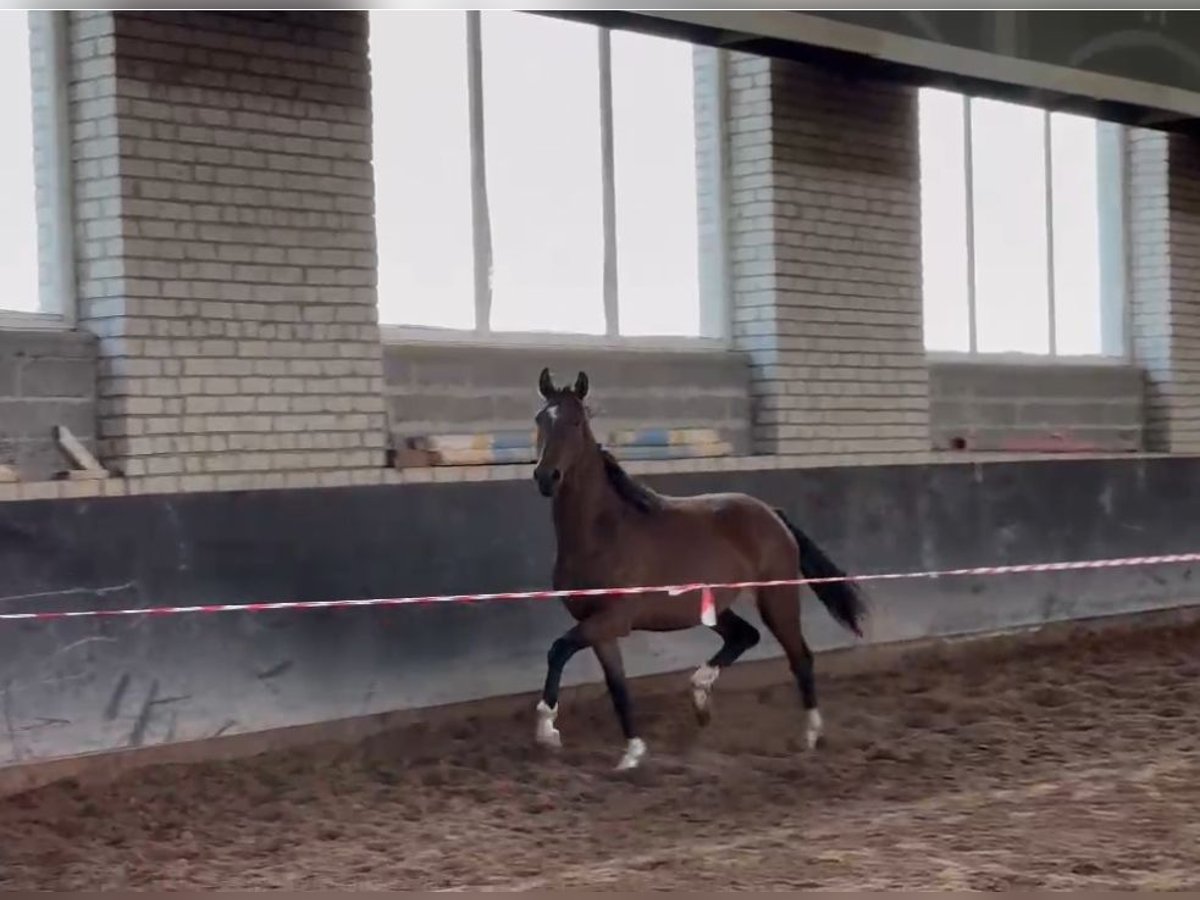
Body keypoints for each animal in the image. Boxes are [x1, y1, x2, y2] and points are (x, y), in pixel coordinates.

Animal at [530, 369, 868, 772]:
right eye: (540, 419)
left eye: (576, 422)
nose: (546, 477)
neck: (602, 532)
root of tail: (771, 513)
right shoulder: (599, 628)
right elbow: (618, 687)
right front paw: (632, 754)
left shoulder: (613, 619)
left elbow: (558, 649)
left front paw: (547, 730)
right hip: (712, 606)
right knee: (745, 636)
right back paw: (700, 695)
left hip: (777, 597)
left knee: (800, 656)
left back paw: (810, 735)